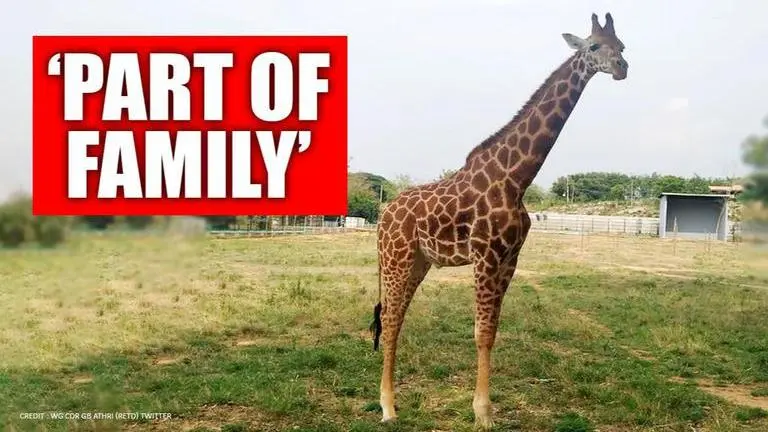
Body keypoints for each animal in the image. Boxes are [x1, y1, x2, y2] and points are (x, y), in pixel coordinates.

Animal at [369, 12, 629, 429]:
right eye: (593, 46)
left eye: (621, 46)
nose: (622, 68)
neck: (516, 179)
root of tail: (384, 215)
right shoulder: (486, 256)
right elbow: (481, 332)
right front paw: (482, 414)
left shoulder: (510, 258)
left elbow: (492, 332)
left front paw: (485, 410)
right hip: (397, 257)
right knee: (390, 320)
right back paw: (388, 408)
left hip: (419, 261)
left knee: (397, 318)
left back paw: (391, 403)